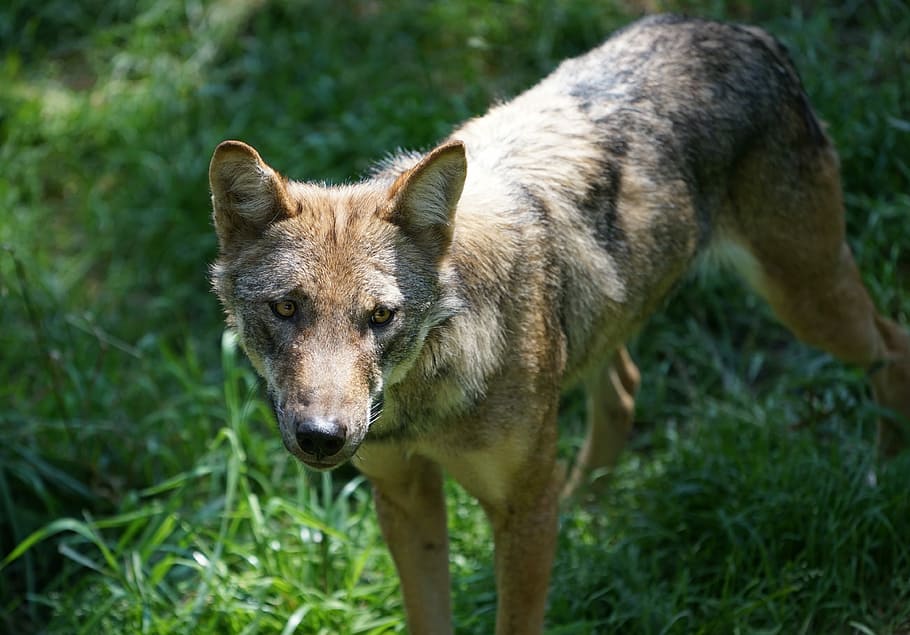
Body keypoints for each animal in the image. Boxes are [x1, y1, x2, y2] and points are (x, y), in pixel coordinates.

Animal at [209, 14, 910, 634]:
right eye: (285, 309)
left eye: (381, 317)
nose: (321, 438)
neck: (429, 394)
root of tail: (745, 32)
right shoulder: (407, 498)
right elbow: (429, 617)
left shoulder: (513, 507)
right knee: (623, 391)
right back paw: (580, 512)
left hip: (808, 301)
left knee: (894, 346)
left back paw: (880, 480)